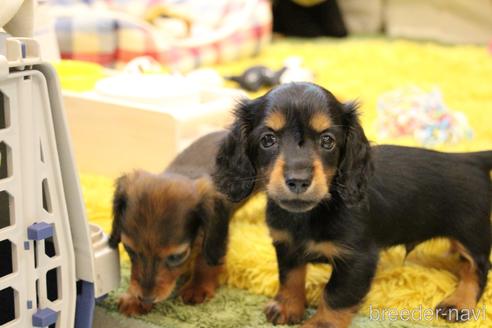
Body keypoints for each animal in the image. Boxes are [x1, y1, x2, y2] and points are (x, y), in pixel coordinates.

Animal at [109, 131, 236, 316]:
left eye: (177, 256)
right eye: (129, 249)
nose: (146, 299)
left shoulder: (216, 232)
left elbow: (205, 259)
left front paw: (198, 287)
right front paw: (133, 298)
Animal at [214, 80, 492, 326]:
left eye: (327, 140)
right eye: (268, 140)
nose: (298, 181)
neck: (312, 214)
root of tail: (470, 159)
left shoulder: (358, 258)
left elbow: (335, 295)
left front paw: (320, 324)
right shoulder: (286, 244)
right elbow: (290, 277)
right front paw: (288, 307)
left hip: (471, 234)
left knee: (477, 267)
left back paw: (459, 302)